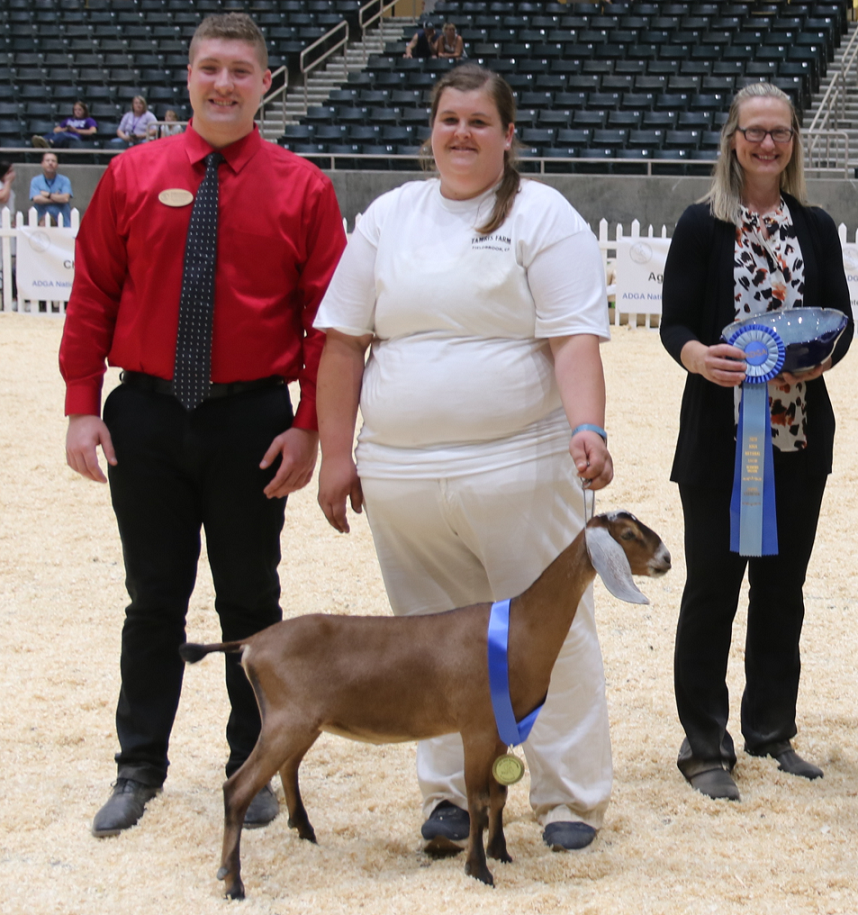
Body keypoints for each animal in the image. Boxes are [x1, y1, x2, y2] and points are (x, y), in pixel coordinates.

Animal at [182, 512, 668, 900]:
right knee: (237, 789)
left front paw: (500, 852)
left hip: (302, 723)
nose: (665, 559)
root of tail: (251, 643)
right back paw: (233, 882)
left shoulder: (499, 730)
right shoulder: (477, 726)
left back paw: (304, 832)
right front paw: (478, 870)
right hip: (286, 721)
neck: (520, 629)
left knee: (287, 769)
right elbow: (477, 800)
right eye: (628, 534)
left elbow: (499, 794)